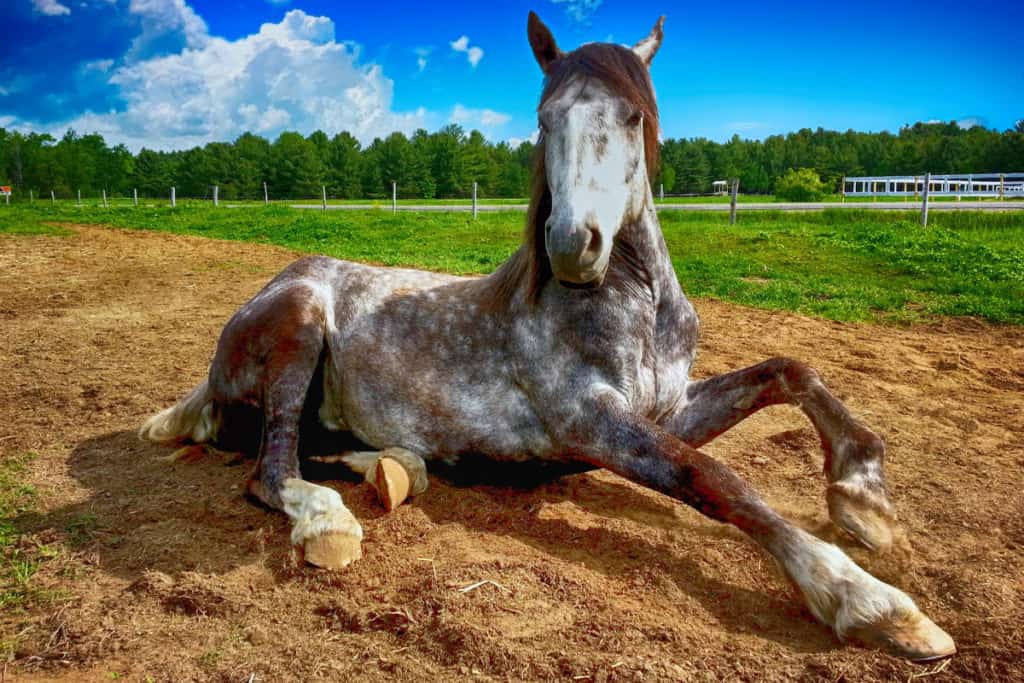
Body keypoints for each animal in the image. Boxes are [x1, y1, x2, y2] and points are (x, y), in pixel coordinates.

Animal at [140, 12, 955, 662]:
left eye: (633, 116)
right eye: (544, 119)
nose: (572, 245)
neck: (634, 307)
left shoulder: (669, 407)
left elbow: (792, 370)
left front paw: (865, 502)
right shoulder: (591, 422)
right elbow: (714, 478)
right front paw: (873, 602)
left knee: (321, 446)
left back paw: (397, 467)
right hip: (301, 325)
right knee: (271, 466)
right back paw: (327, 521)